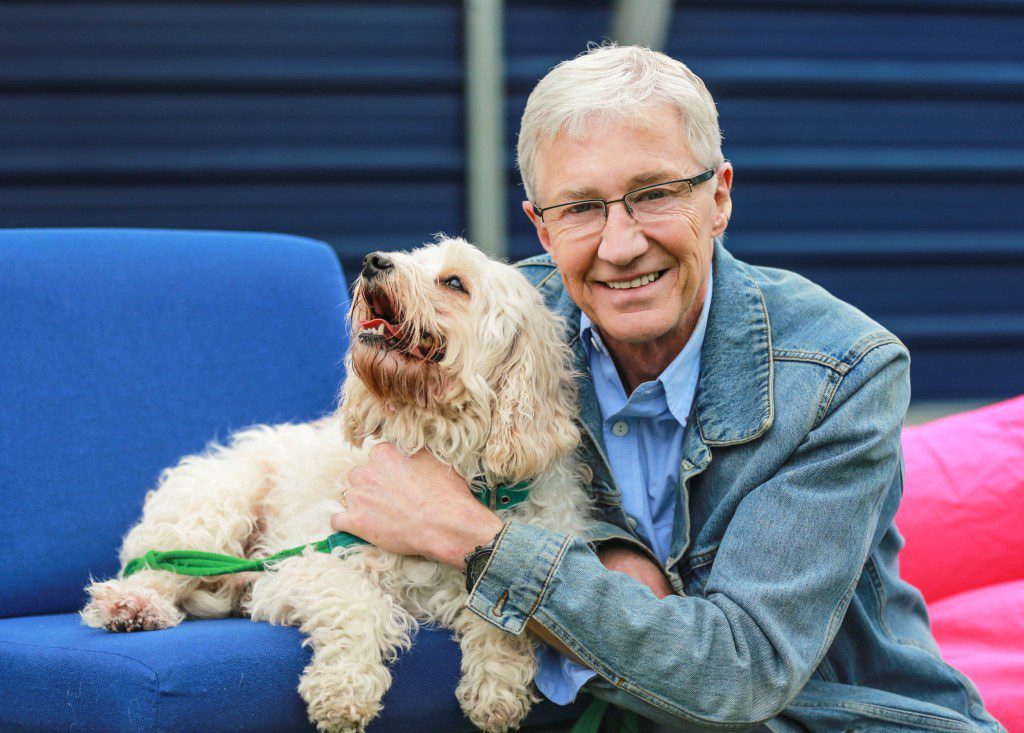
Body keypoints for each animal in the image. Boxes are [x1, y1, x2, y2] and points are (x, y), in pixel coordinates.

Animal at [83, 237, 598, 728]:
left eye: (455, 283)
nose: (372, 261)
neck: (446, 454)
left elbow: (501, 614)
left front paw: (496, 689)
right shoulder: (306, 564)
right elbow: (357, 605)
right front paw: (343, 691)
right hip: (217, 505)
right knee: (160, 566)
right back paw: (133, 605)